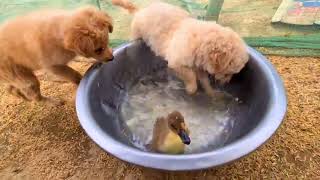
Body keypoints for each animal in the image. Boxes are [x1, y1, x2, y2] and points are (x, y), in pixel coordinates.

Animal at [112, 0, 250, 96]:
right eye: (227, 73)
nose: (227, 82)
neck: (201, 42)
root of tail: (141, 10)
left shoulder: (199, 65)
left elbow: (204, 81)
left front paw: (211, 93)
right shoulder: (176, 63)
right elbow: (190, 76)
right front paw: (191, 89)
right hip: (136, 33)